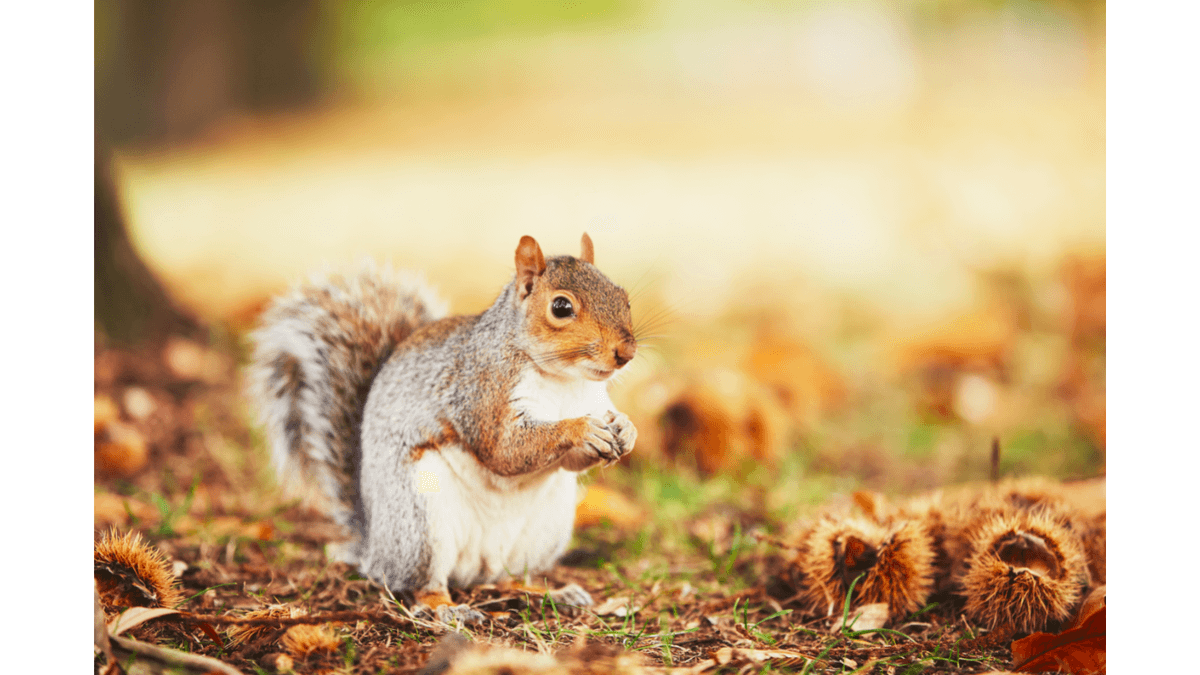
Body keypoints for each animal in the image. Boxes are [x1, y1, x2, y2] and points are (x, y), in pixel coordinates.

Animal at [247, 234, 638, 624]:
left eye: (624, 297)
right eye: (560, 307)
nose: (626, 353)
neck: (563, 380)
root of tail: (373, 545)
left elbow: (573, 455)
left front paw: (627, 429)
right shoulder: (482, 393)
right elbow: (504, 450)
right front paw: (581, 430)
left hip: (543, 531)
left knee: (508, 578)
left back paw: (553, 592)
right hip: (420, 524)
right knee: (422, 585)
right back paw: (449, 610)